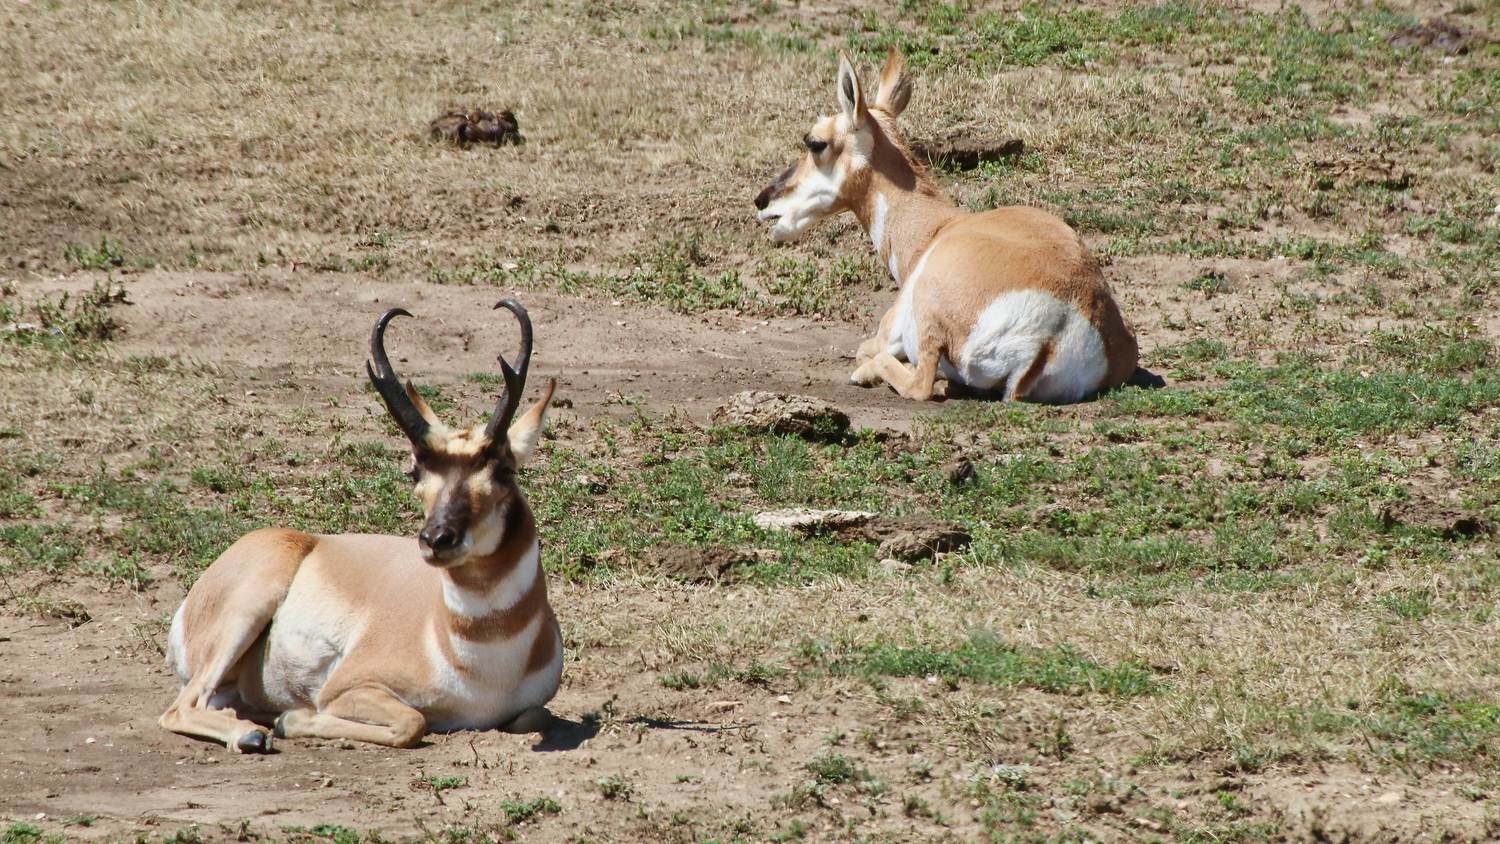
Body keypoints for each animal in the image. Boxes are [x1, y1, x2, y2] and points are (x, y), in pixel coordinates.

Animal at [159, 301, 561, 752]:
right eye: (415, 472)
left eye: (505, 470)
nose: (436, 539)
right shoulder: (348, 689)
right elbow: (412, 722)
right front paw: (291, 719)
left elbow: (535, 715)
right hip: (247, 610)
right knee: (180, 707)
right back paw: (252, 733)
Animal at [754, 49, 1139, 402]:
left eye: (815, 142)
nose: (762, 200)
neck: (936, 229)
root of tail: (1061, 324)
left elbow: (866, 348)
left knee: (920, 383)